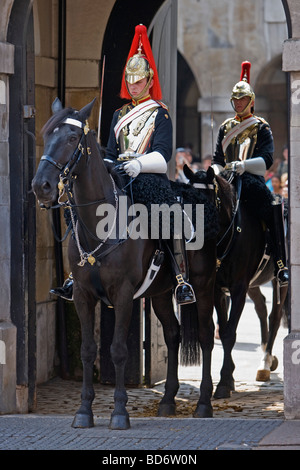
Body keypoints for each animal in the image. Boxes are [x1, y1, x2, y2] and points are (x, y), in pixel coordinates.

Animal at [31, 100, 218, 430]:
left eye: (71, 138)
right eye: (45, 133)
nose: (42, 186)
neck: (99, 224)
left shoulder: (122, 294)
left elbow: (118, 350)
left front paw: (119, 411)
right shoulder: (83, 294)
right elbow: (87, 350)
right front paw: (84, 411)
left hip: (204, 286)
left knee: (207, 335)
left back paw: (204, 403)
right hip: (160, 293)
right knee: (172, 334)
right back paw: (167, 401)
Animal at [185, 165, 288, 396]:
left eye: (206, 201)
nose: (193, 242)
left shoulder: (238, 288)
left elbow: (230, 333)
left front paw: (224, 382)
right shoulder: (218, 290)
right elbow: (223, 329)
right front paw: (229, 376)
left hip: (282, 281)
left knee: (275, 316)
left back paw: (265, 361)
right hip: (254, 284)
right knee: (261, 306)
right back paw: (266, 356)